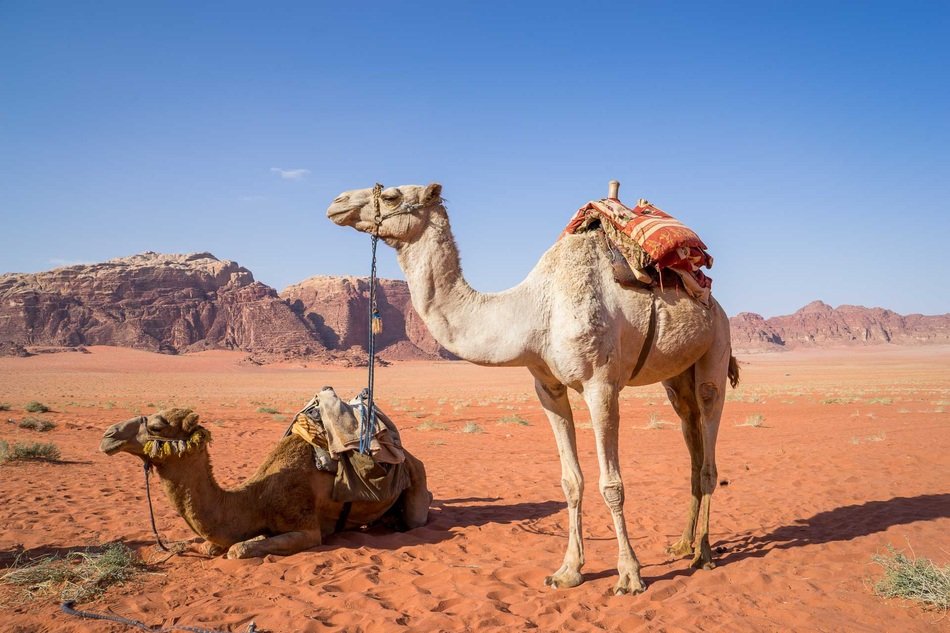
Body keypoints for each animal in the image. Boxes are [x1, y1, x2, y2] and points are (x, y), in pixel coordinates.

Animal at [99, 392, 431, 558]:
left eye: (156, 426)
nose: (108, 435)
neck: (255, 499)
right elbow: (209, 545)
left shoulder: (308, 529)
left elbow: (237, 549)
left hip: (416, 475)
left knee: (418, 514)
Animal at [327, 183, 739, 595]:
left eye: (392, 196)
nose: (337, 203)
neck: (534, 312)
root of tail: (713, 301)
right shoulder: (548, 387)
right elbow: (571, 481)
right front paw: (569, 570)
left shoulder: (601, 385)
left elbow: (612, 484)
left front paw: (629, 575)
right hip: (676, 376)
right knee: (691, 439)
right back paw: (682, 544)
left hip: (715, 348)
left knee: (708, 446)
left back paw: (703, 553)